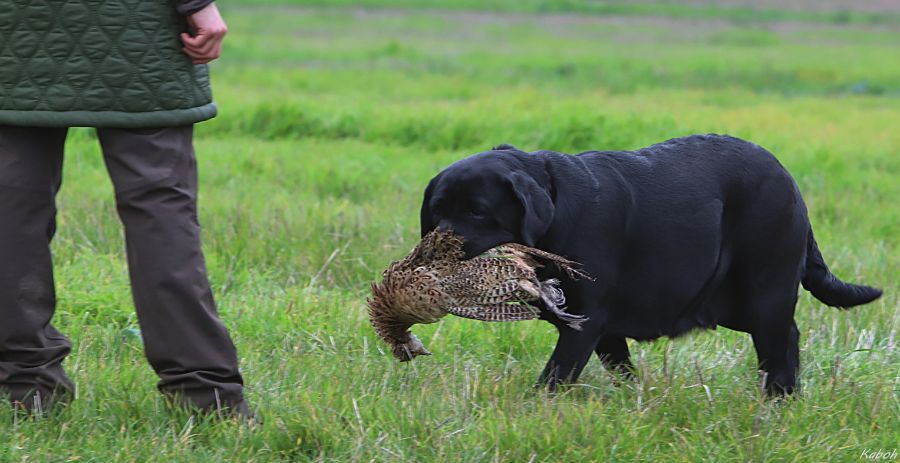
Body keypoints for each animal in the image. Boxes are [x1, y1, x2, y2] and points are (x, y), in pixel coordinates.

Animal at [420, 133, 880, 396]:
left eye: (477, 211)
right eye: (437, 209)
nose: (434, 250)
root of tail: (790, 181)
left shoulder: (585, 320)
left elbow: (555, 376)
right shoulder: (602, 329)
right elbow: (620, 367)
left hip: (764, 289)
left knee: (778, 342)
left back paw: (777, 399)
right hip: (735, 303)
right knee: (788, 336)